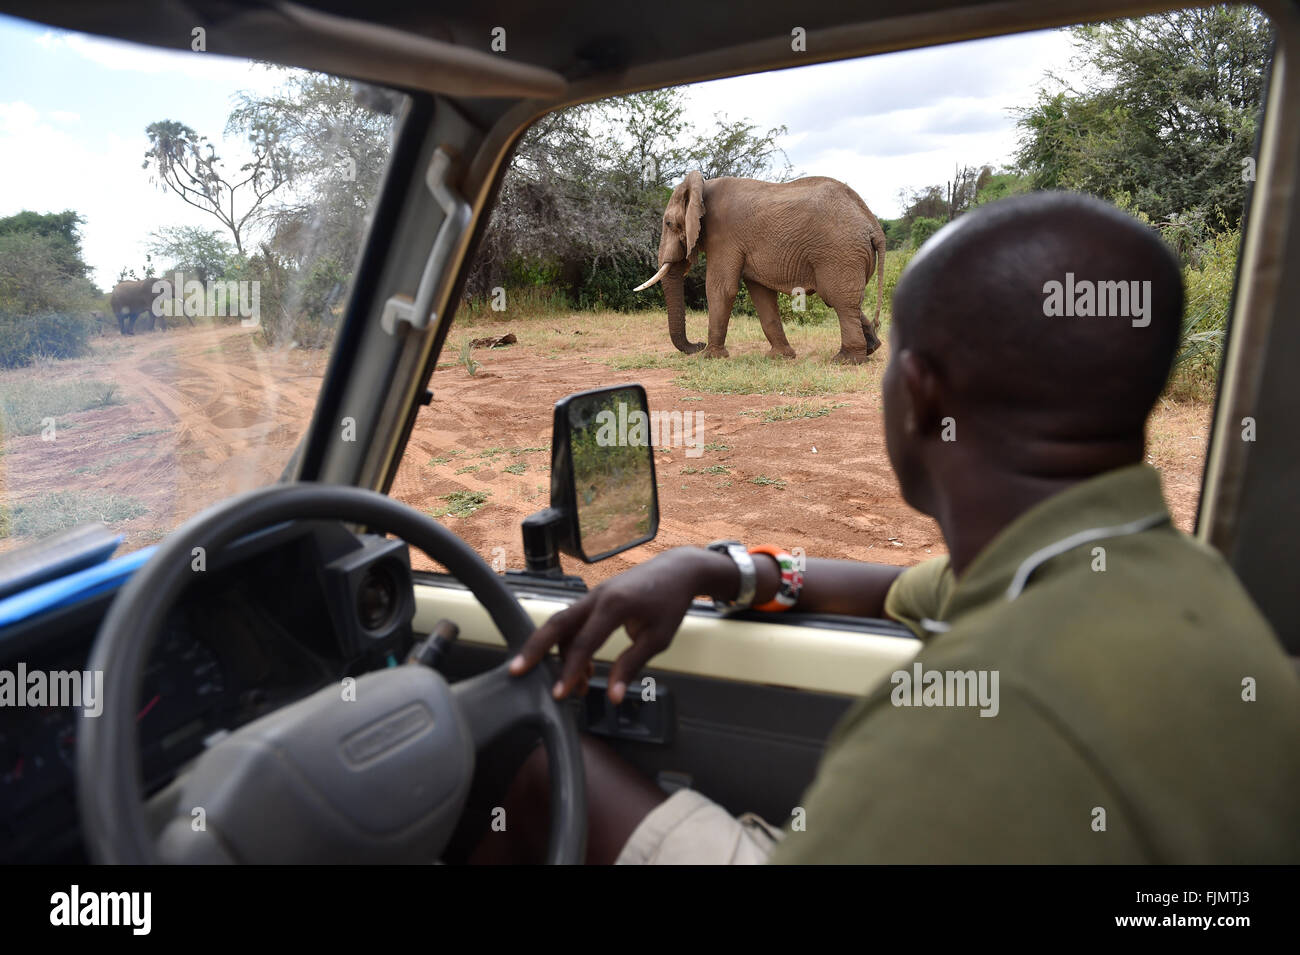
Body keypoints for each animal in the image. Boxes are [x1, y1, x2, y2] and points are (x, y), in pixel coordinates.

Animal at [634, 171, 889, 366]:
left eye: (669, 223)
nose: (697, 344)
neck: (703, 186)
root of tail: (873, 224)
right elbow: (761, 294)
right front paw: (780, 357)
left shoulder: (724, 237)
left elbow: (721, 289)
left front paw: (710, 357)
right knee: (846, 301)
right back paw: (872, 348)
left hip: (839, 253)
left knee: (839, 300)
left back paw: (846, 360)